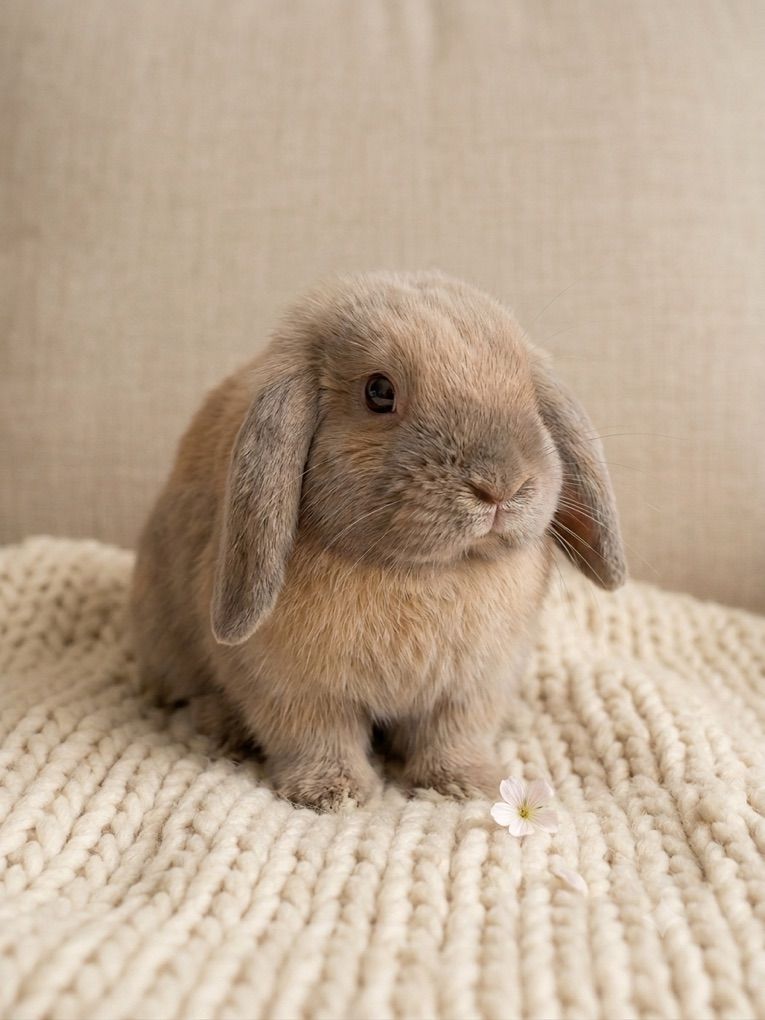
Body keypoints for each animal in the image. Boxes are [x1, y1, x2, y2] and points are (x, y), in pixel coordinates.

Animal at [130, 270, 625, 811]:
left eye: (527, 392)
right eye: (379, 392)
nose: (501, 486)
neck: (423, 571)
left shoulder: (471, 689)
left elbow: (452, 737)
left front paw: (465, 784)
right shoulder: (293, 688)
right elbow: (317, 737)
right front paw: (333, 794)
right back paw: (222, 725)